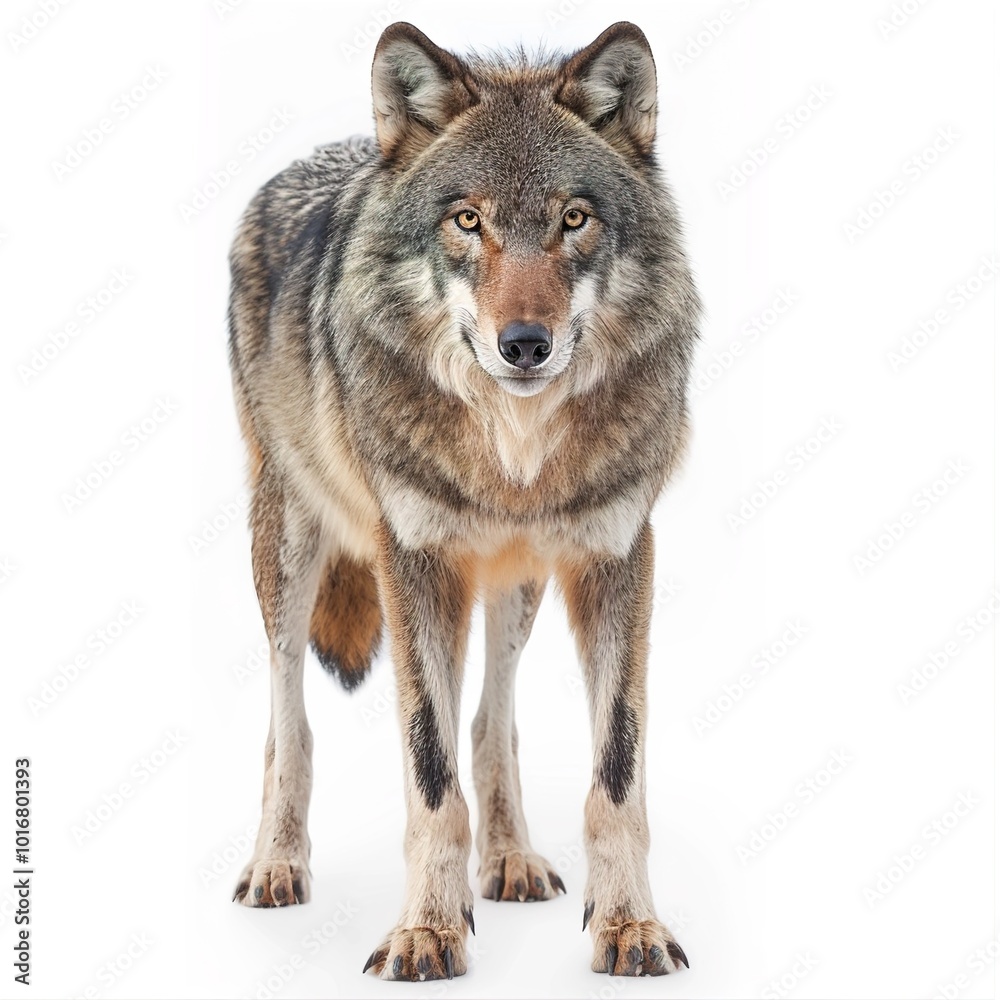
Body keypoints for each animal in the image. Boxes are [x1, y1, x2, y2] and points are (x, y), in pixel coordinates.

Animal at [227, 20, 699, 980]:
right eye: (467, 220)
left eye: (572, 218)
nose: (524, 344)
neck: (513, 452)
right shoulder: (412, 563)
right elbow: (428, 769)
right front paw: (426, 933)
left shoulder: (618, 556)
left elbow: (614, 771)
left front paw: (628, 925)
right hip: (287, 549)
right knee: (288, 722)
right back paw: (277, 864)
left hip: (517, 584)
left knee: (492, 719)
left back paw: (511, 858)